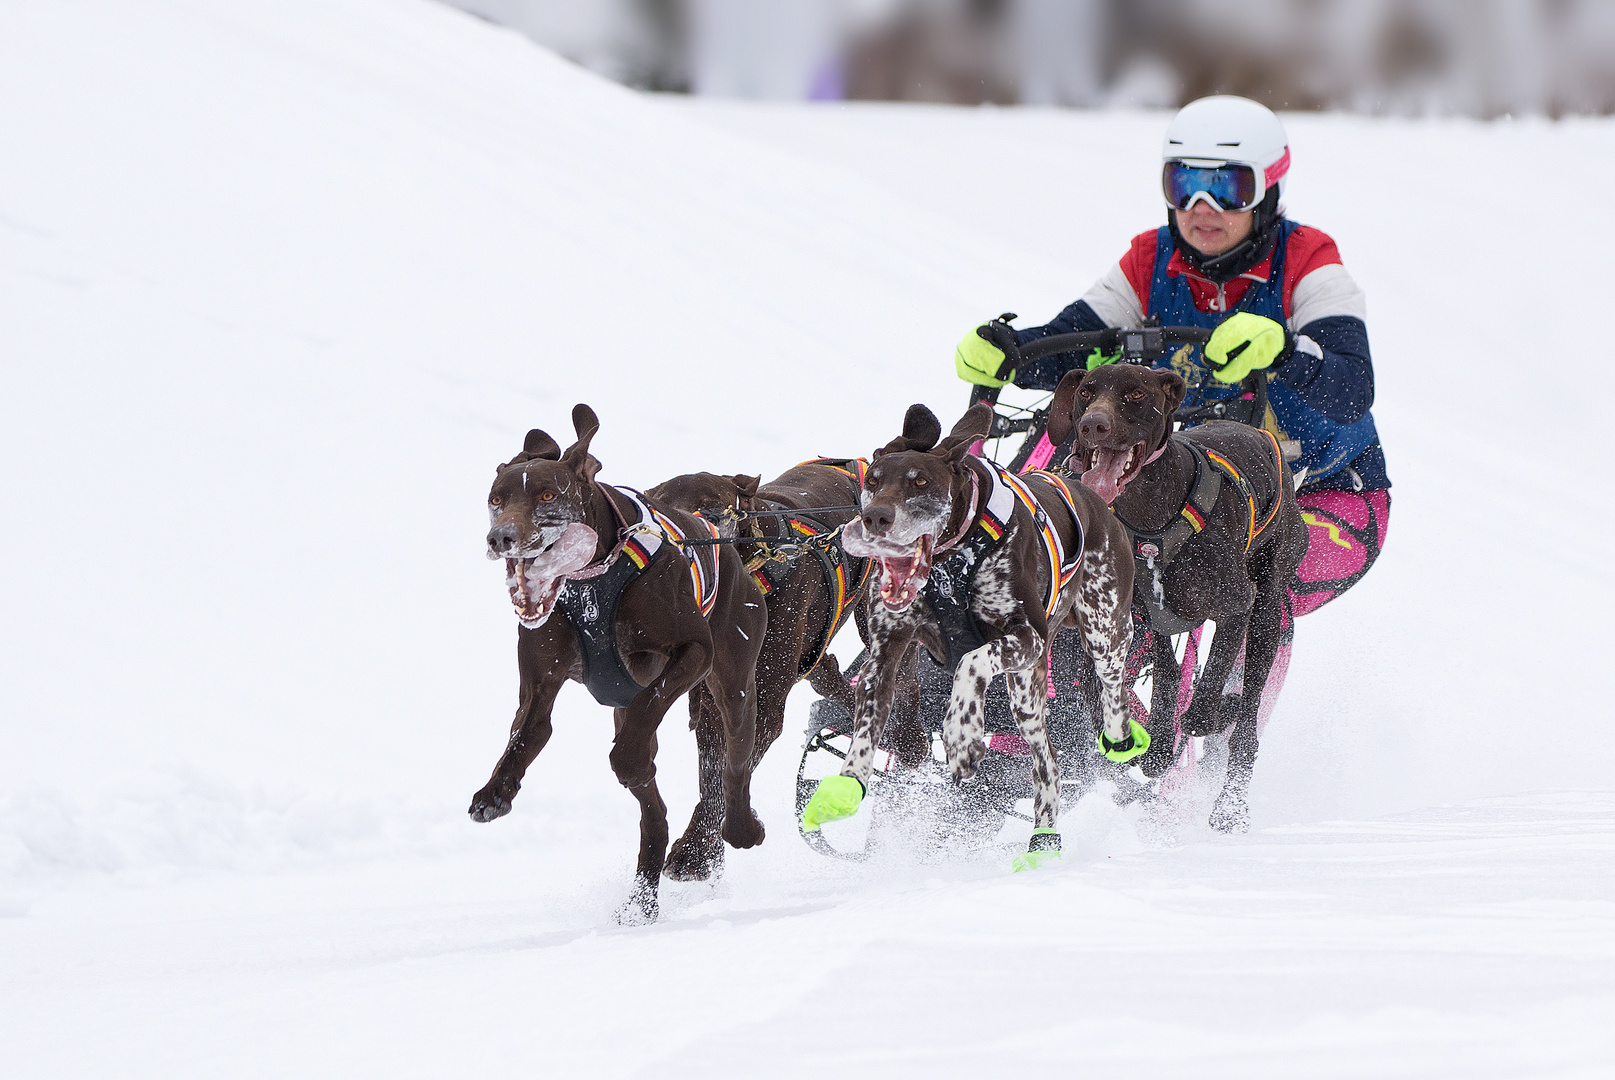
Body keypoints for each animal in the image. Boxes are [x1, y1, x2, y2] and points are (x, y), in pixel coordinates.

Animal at [468, 400, 768, 923]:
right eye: (496, 499)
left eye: (547, 494)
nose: (500, 536)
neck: (592, 577)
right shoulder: (540, 684)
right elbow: (528, 733)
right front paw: (496, 791)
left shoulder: (694, 652)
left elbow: (641, 732)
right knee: (653, 809)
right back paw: (642, 896)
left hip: (734, 679)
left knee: (733, 759)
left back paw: (740, 828)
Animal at [797, 403, 1136, 865]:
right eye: (874, 480)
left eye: (920, 481)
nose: (875, 518)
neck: (951, 561)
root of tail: (1090, 494)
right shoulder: (884, 656)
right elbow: (866, 726)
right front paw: (846, 784)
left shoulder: (1024, 637)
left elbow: (970, 664)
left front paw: (961, 735)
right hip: (1027, 693)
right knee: (1048, 761)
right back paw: (1044, 836)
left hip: (1098, 636)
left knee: (1107, 691)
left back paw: (1114, 742)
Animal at [1046, 364, 1311, 833]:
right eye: (1085, 392)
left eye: (1135, 394)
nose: (1093, 425)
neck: (1152, 525)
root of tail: (1263, 435)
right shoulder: (1149, 619)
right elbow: (1169, 677)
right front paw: (1156, 748)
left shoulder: (1236, 606)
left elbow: (1214, 674)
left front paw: (1208, 712)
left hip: (1267, 610)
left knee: (1246, 726)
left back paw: (1230, 804)